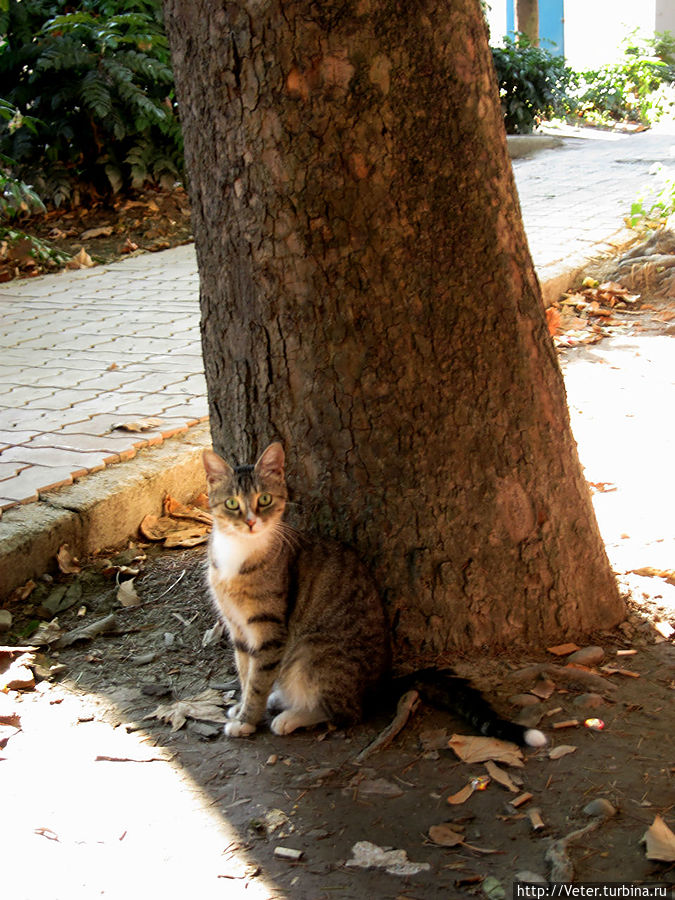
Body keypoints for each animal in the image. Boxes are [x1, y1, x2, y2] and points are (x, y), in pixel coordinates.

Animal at [203, 442, 548, 744]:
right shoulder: (238, 628)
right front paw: (242, 706)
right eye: (232, 503)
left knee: (348, 711)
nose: (250, 522)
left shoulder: (269, 630)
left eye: (263, 499)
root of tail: (381, 684)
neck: (239, 553)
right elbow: (245, 672)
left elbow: (258, 678)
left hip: (315, 653)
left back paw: (292, 716)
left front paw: (247, 720)